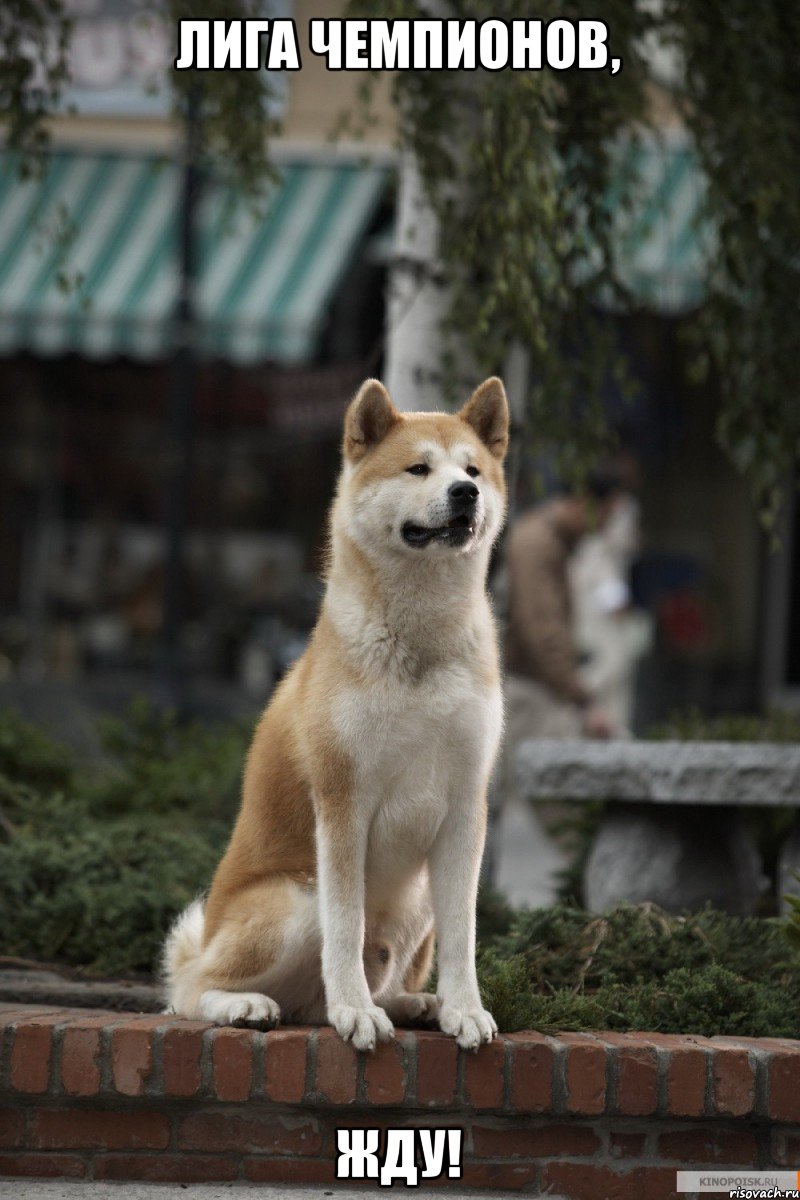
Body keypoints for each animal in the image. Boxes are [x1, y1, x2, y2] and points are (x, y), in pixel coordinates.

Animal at [165, 374, 510, 1051]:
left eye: (473, 470)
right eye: (418, 468)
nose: (465, 493)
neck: (420, 643)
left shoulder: (466, 806)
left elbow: (464, 935)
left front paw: (464, 1009)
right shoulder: (343, 801)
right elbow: (346, 928)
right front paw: (355, 1011)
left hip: (417, 900)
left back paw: (415, 1004)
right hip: (295, 900)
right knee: (189, 990)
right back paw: (250, 1005)